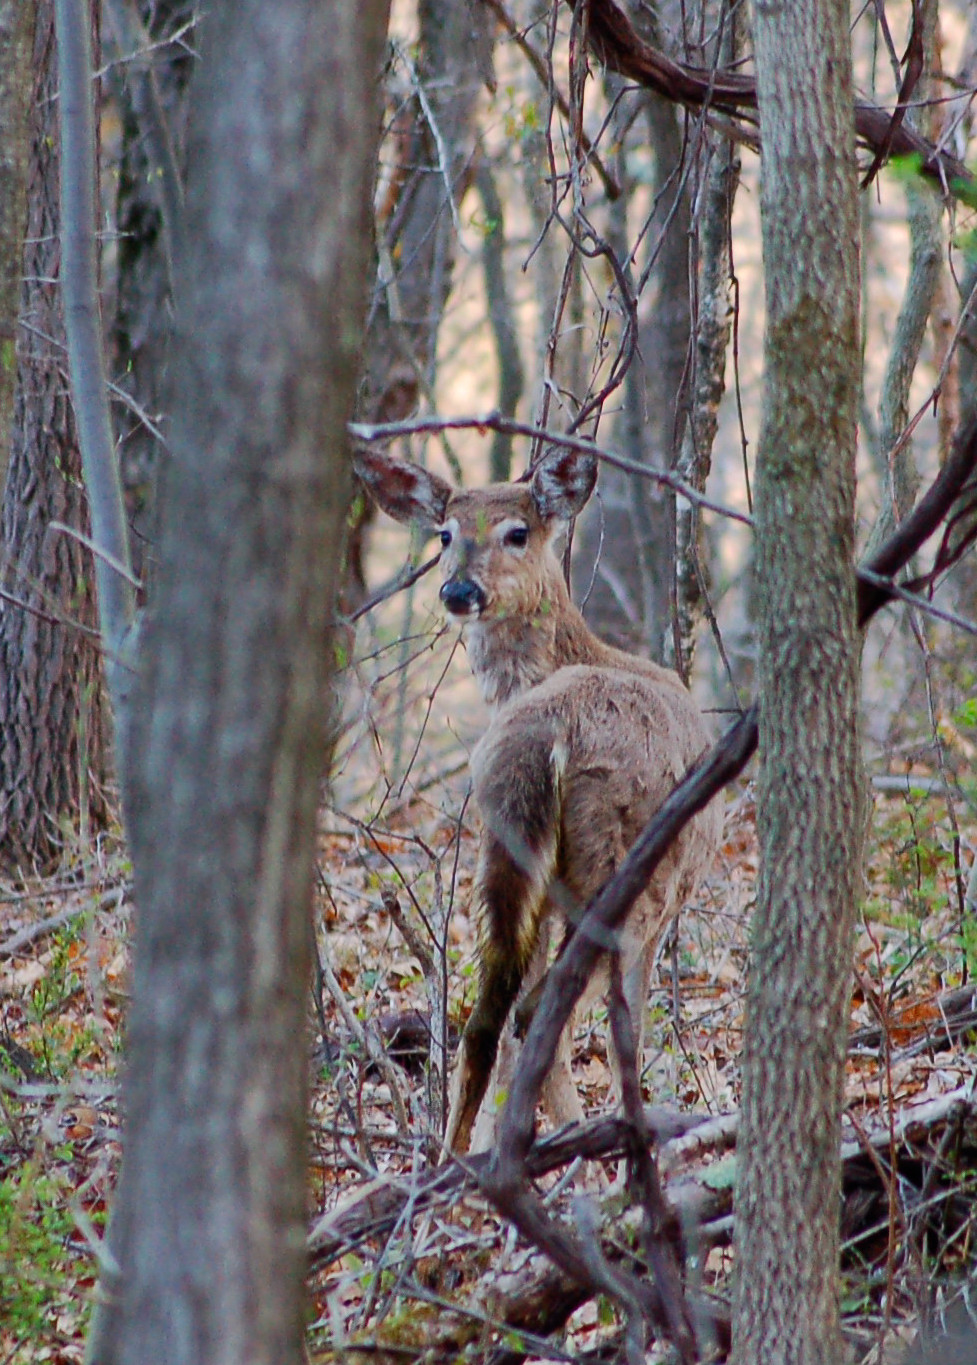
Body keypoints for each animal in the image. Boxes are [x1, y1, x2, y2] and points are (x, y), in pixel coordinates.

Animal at [353, 444, 723, 1154]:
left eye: (517, 532)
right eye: (446, 534)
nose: (459, 591)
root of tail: (548, 732)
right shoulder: (663, 904)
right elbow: (629, 1025)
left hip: (501, 846)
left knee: (487, 1017)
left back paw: (464, 1157)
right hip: (623, 866)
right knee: (541, 1013)